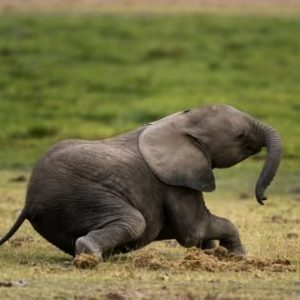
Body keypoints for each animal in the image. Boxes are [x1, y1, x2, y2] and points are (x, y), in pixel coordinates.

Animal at [0, 104, 282, 258]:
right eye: (240, 136)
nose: (263, 198)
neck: (179, 122)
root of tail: (29, 201)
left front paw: (214, 254)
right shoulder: (174, 181)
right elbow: (195, 230)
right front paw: (240, 257)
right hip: (80, 197)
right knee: (134, 221)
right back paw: (91, 256)